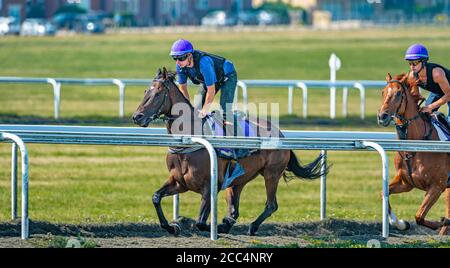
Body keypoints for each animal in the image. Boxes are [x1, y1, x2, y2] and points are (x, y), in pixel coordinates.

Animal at [133, 68, 326, 236]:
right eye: (145, 91)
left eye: (158, 93)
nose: (137, 117)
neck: (188, 143)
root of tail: (281, 133)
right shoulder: (180, 182)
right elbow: (156, 197)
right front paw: (173, 227)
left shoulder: (210, 186)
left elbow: (200, 222)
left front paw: (211, 226)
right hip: (238, 179)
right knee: (235, 208)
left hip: (272, 174)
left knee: (271, 205)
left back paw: (251, 226)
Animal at [378, 73, 448, 234]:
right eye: (383, 92)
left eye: (398, 93)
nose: (382, 116)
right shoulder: (405, 183)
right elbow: (384, 194)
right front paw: (400, 223)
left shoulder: (437, 186)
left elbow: (419, 216)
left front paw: (442, 222)